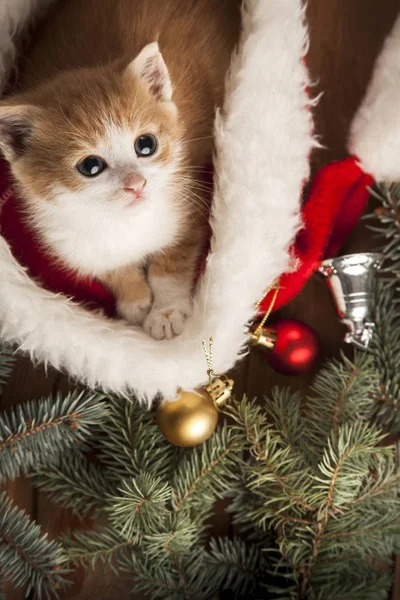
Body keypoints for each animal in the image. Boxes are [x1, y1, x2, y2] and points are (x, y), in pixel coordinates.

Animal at [0, 0, 239, 338]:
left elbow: (172, 263)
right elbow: (112, 268)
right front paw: (135, 300)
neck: (121, 222)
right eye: (90, 165)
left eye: (146, 144)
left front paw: (165, 312)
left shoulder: (189, 202)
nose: (136, 183)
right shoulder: (74, 244)